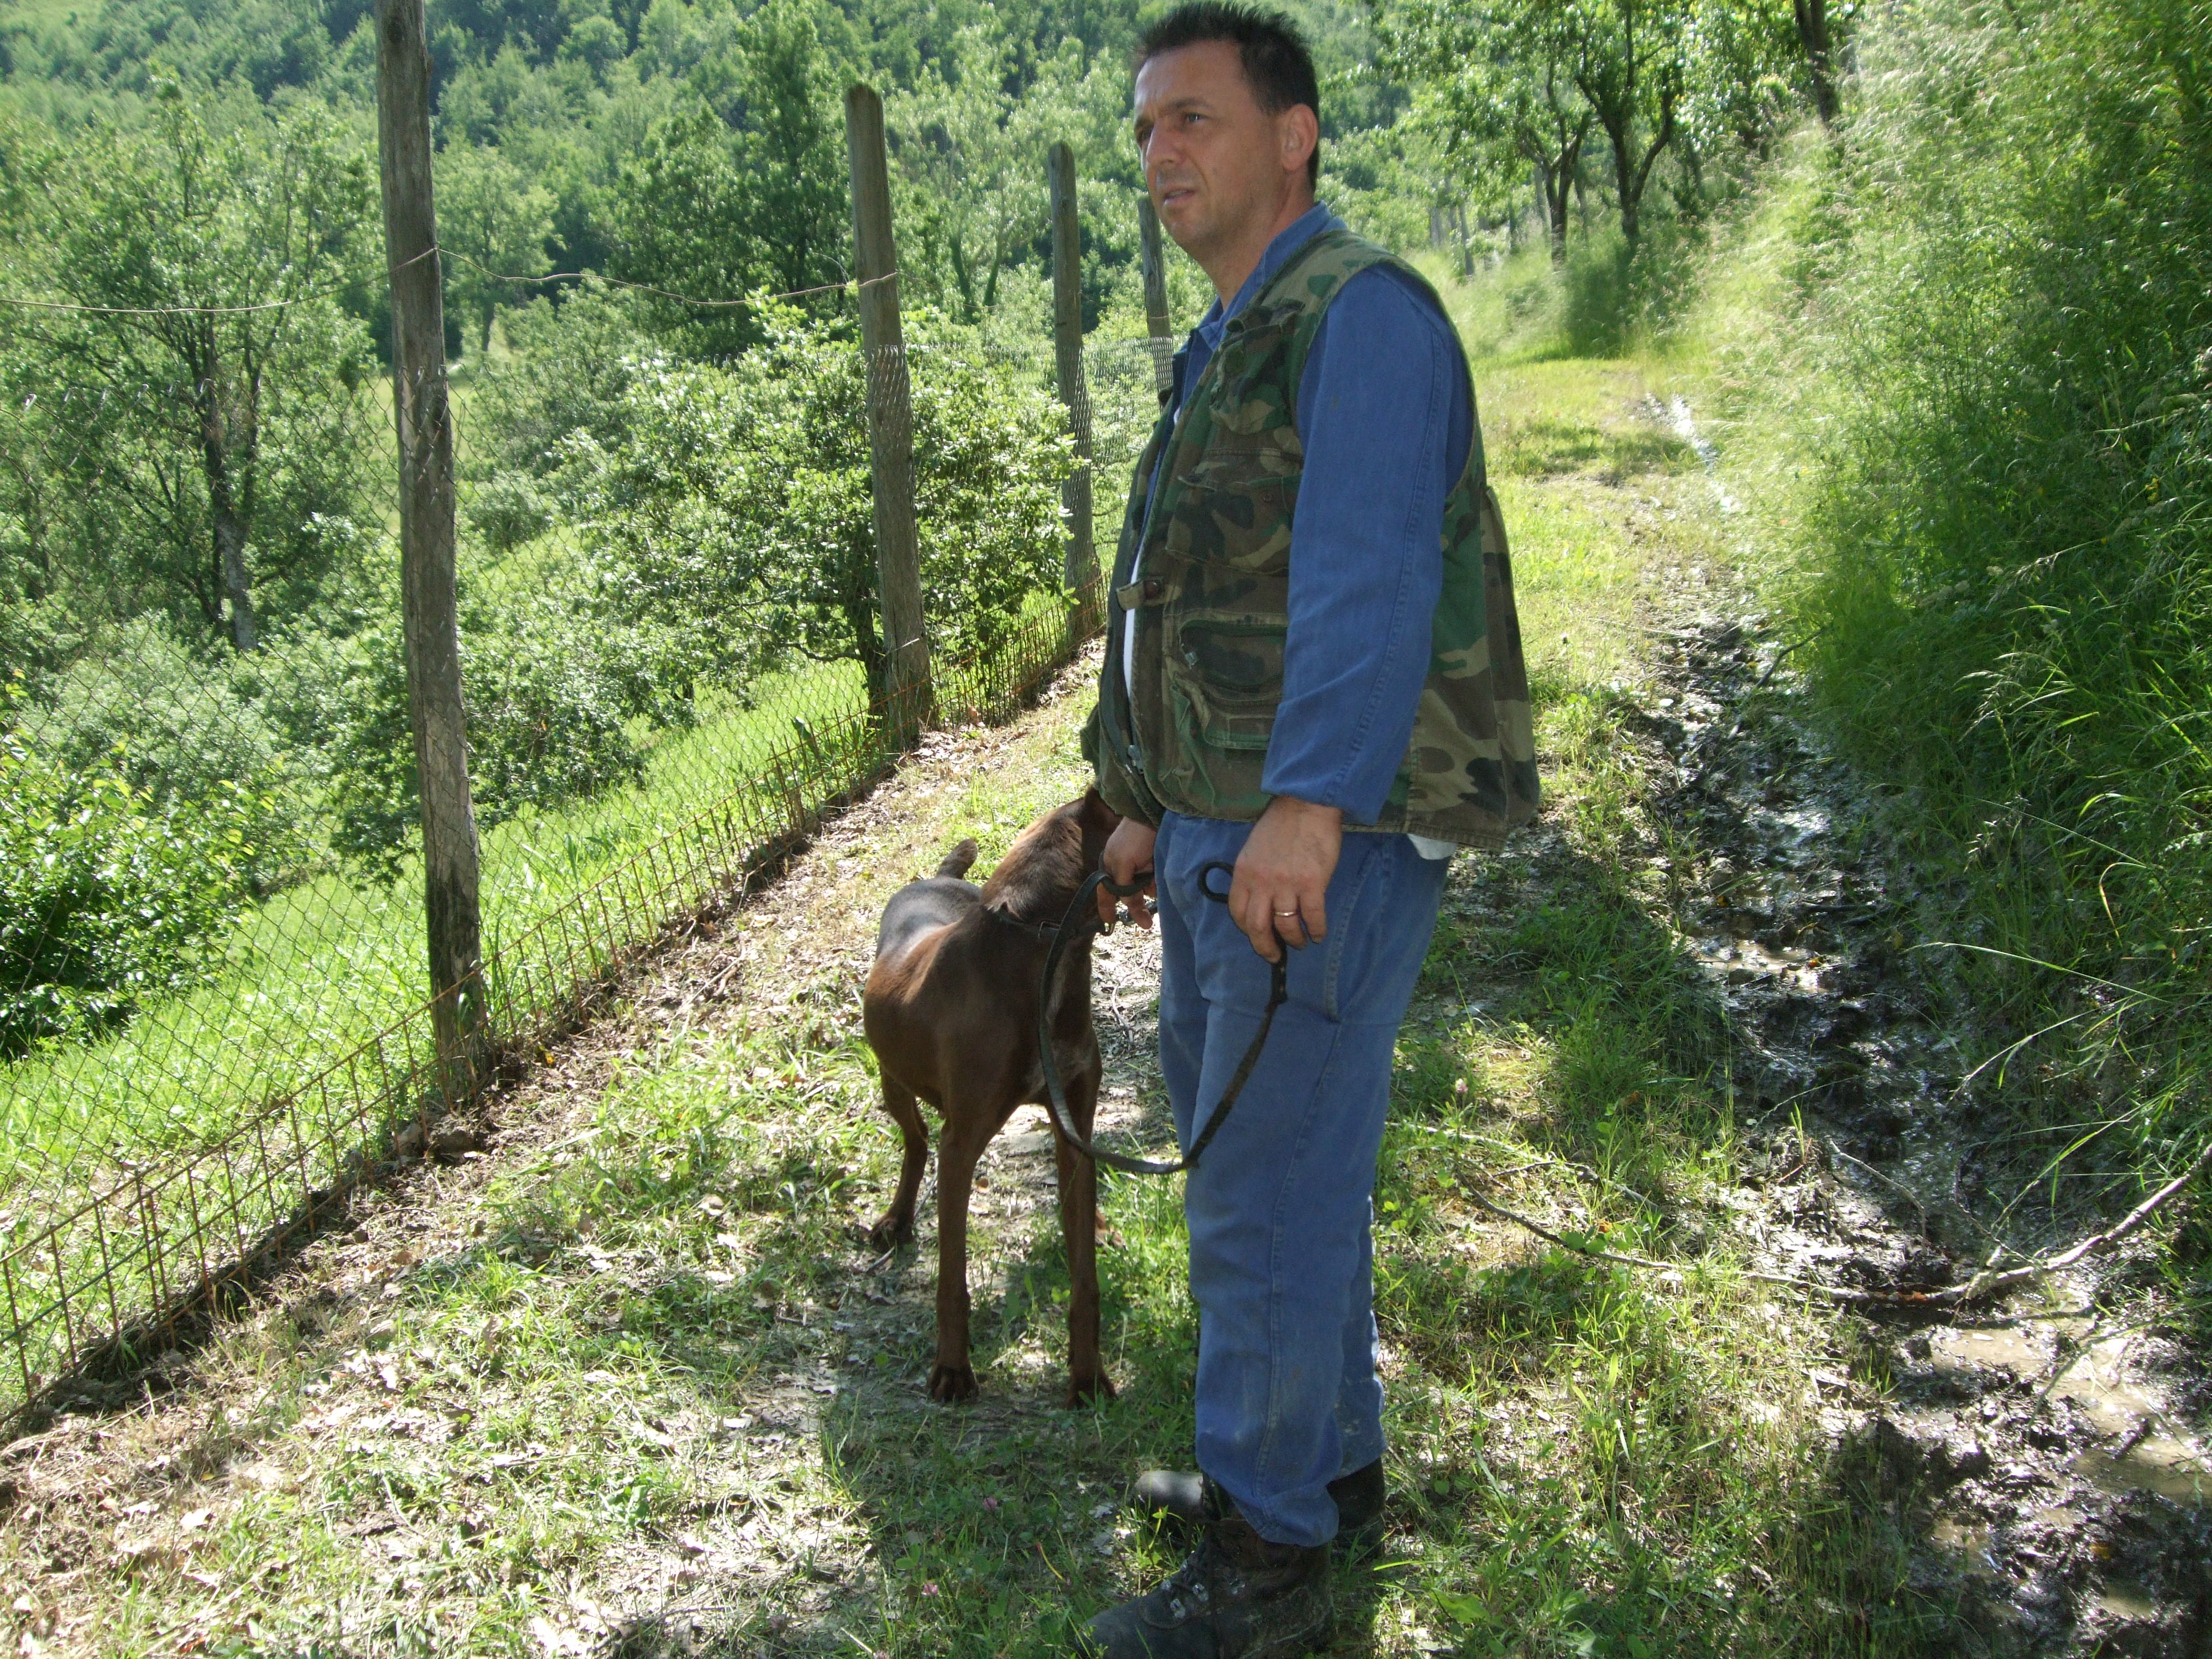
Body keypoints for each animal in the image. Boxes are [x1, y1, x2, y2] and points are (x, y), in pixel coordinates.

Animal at [863, 787, 1124, 1407]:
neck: (1041, 948)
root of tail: (936, 876)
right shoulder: (962, 1145)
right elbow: (951, 1279)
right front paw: (953, 1370)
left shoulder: (1074, 1119)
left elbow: (1084, 1276)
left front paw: (1087, 1376)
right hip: (893, 1079)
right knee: (915, 1142)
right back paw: (898, 1216)